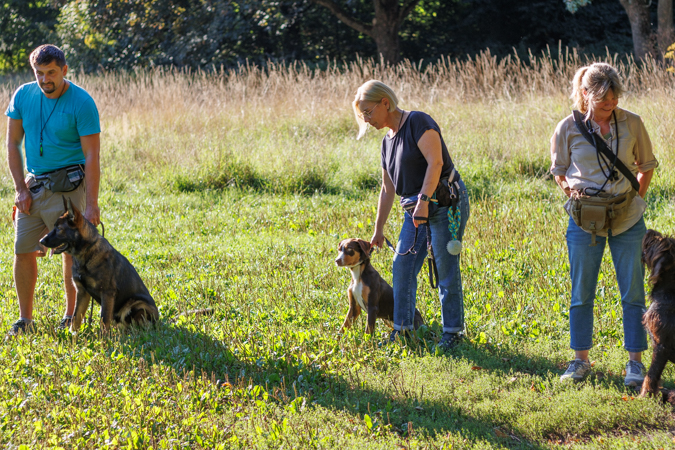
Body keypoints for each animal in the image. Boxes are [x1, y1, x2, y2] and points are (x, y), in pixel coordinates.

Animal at [39, 197, 159, 333]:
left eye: (59, 229)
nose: (41, 241)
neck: (86, 254)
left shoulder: (107, 293)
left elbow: (104, 319)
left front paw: (103, 338)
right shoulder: (82, 292)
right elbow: (76, 317)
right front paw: (73, 335)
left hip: (135, 304)